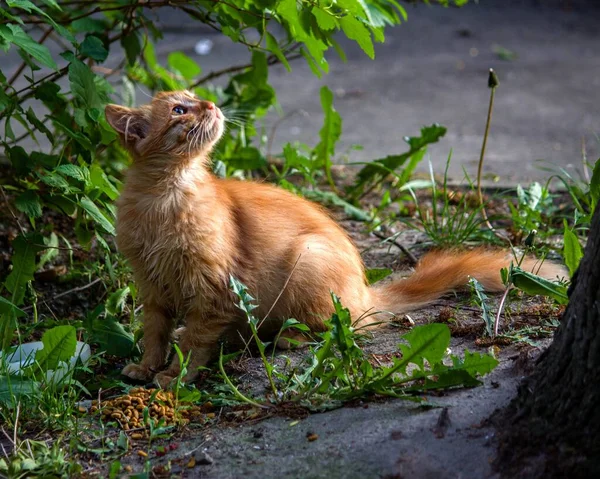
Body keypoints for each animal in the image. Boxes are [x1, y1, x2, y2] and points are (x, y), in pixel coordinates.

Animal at [104, 91, 568, 390]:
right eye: (180, 108)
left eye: (196, 98)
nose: (213, 106)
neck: (162, 201)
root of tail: (365, 292)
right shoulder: (151, 286)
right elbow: (156, 333)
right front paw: (147, 366)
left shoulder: (214, 289)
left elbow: (194, 342)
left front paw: (175, 375)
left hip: (307, 261)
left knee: (334, 327)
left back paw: (283, 338)